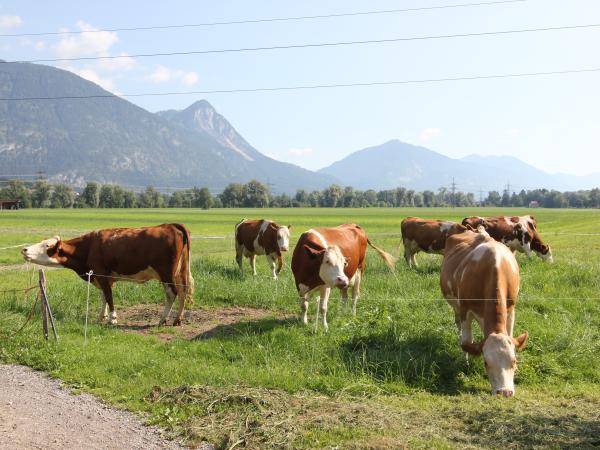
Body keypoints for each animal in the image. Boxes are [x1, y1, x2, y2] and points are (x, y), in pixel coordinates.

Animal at [21, 223, 193, 326]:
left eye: (46, 245)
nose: (24, 249)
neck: (89, 247)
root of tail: (169, 225)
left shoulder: (101, 273)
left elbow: (109, 296)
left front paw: (112, 318)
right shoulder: (103, 277)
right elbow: (104, 296)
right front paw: (101, 316)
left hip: (166, 273)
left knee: (172, 293)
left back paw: (163, 319)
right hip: (179, 272)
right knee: (183, 291)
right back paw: (177, 319)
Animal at [438, 227, 528, 396]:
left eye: (514, 361)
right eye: (486, 362)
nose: (504, 392)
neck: (494, 266)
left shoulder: (511, 308)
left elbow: (509, 334)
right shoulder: (465, 310)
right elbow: (467, 340)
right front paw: (466, 363)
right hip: (456, 307)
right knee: (459, 327)